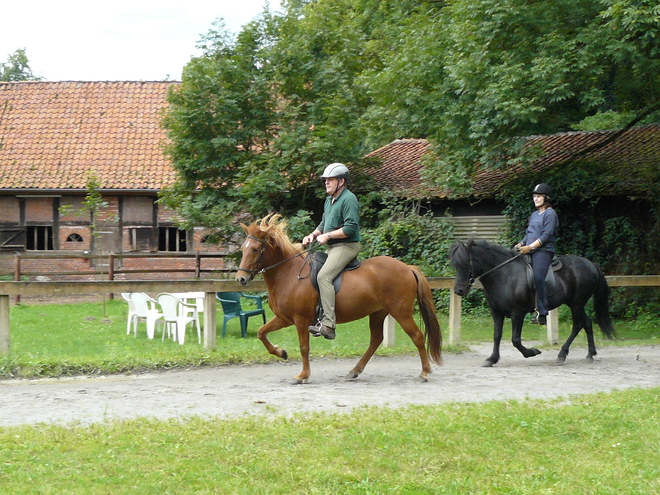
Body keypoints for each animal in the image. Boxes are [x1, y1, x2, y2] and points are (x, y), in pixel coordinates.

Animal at [235, 214, 440, 384]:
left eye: (255, 249)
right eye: (243, 248)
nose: (240, 279)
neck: (289, 273)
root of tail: (408, 268)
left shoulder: (301, 320)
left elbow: (304, 347)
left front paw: (302, 375)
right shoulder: (284, 318)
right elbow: (261, 332)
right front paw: (281, 352)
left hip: (400, 312)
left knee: (416, 336)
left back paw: (424, 372)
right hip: (378, 313)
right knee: (375, 340)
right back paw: (354, 371)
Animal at [448, 240, 612, 368]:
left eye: (466, 263)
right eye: (455, 265)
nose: (459, 290)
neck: (504, 275)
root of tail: (590, 264)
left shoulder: (518, 313)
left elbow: (515, 340)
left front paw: (532, 352)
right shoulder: (497, 312)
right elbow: (497, 335)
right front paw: (492, 359)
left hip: (576, 303)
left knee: (578, 325)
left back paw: (562, 355)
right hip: (576, 304)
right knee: (587, 323)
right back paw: (590, 354)